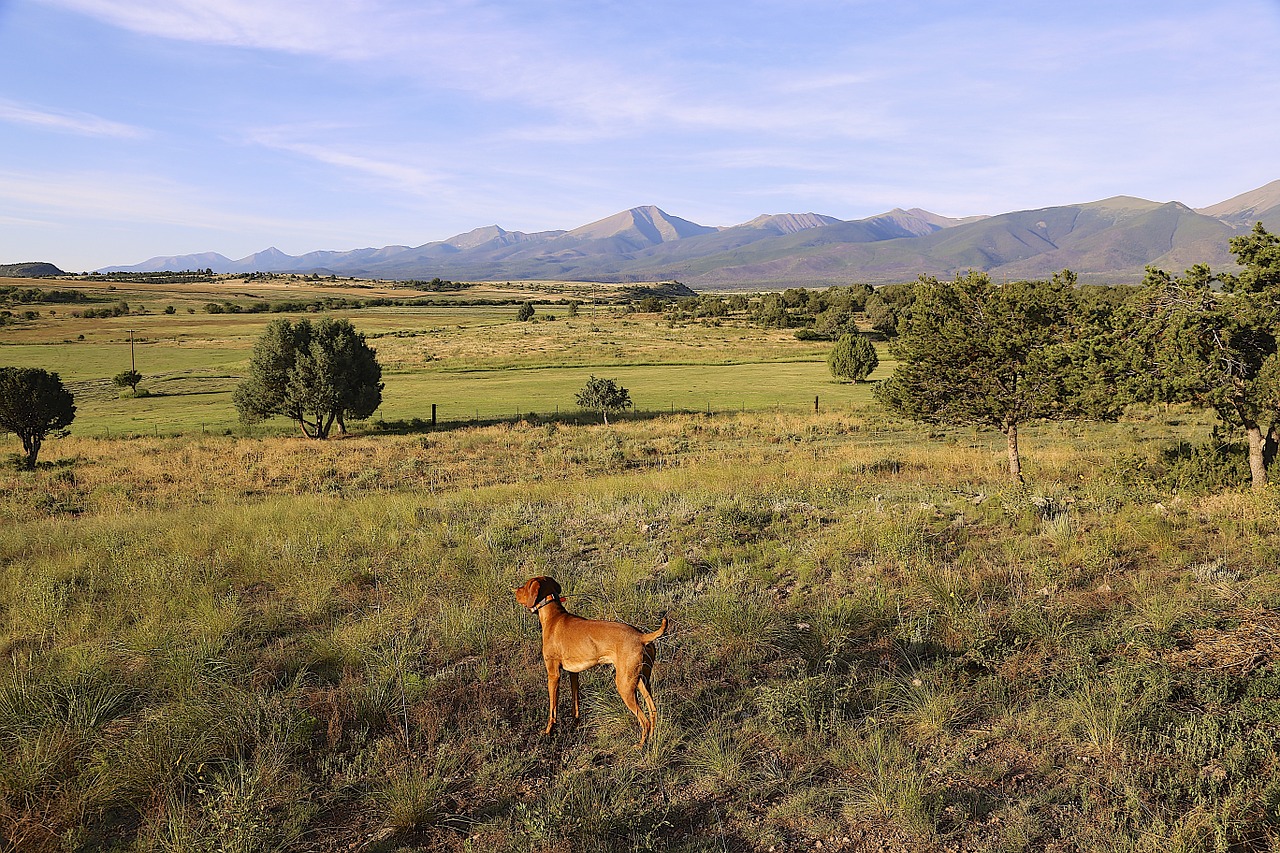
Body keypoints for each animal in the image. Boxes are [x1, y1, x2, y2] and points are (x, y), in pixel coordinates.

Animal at [512, 571, 665, 742]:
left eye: (525, 586)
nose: (515, 590)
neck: (554, 617)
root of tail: (642, 636)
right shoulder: (573, 673)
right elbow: (575, 702)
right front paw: (575, 725)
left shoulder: (553, 674)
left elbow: (552, 708)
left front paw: (548, 731)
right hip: (641, 680)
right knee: (653, 711)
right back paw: (651, 738)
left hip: (624, 685)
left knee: (644, 720)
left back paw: (640, 745)